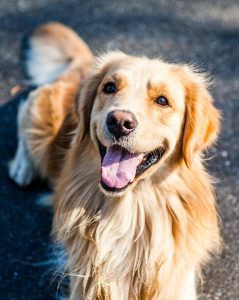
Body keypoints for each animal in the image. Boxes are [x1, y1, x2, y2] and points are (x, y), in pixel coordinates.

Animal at [9, 22, 222, 298]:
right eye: (109, 87)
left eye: (162, 100)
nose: (119, 122)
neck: (130, 209)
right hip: (42, 128)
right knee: (25, 108)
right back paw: (22, 166)